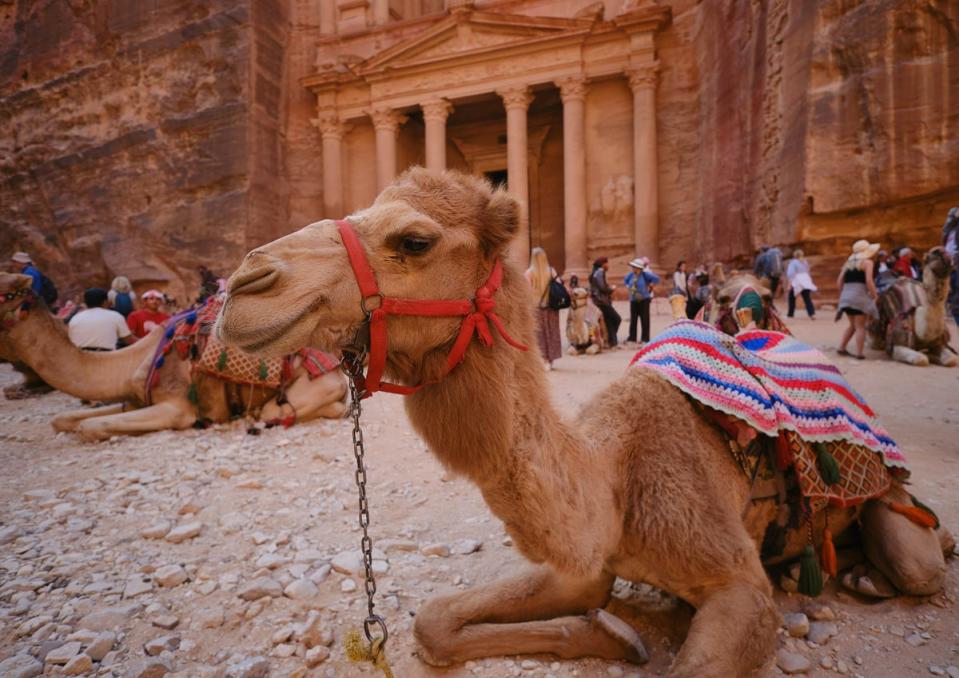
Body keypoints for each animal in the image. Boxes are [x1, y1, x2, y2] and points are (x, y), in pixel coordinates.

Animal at [0, 274, 344, 444]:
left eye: (4, 293)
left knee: (279, 409)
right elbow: (64, 419)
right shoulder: (135, 399)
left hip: (316, 384)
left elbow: (91, 426)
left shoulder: (176, 406)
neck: (132, 362)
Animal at [216, 170, 944, 678]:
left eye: (414, 241)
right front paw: (611, 634)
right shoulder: (586, 564)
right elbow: (434, 620)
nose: (244, 285)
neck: (616, 480)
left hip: (892, 502)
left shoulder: (739, 583)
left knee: (920, 566)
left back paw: (866, 574)